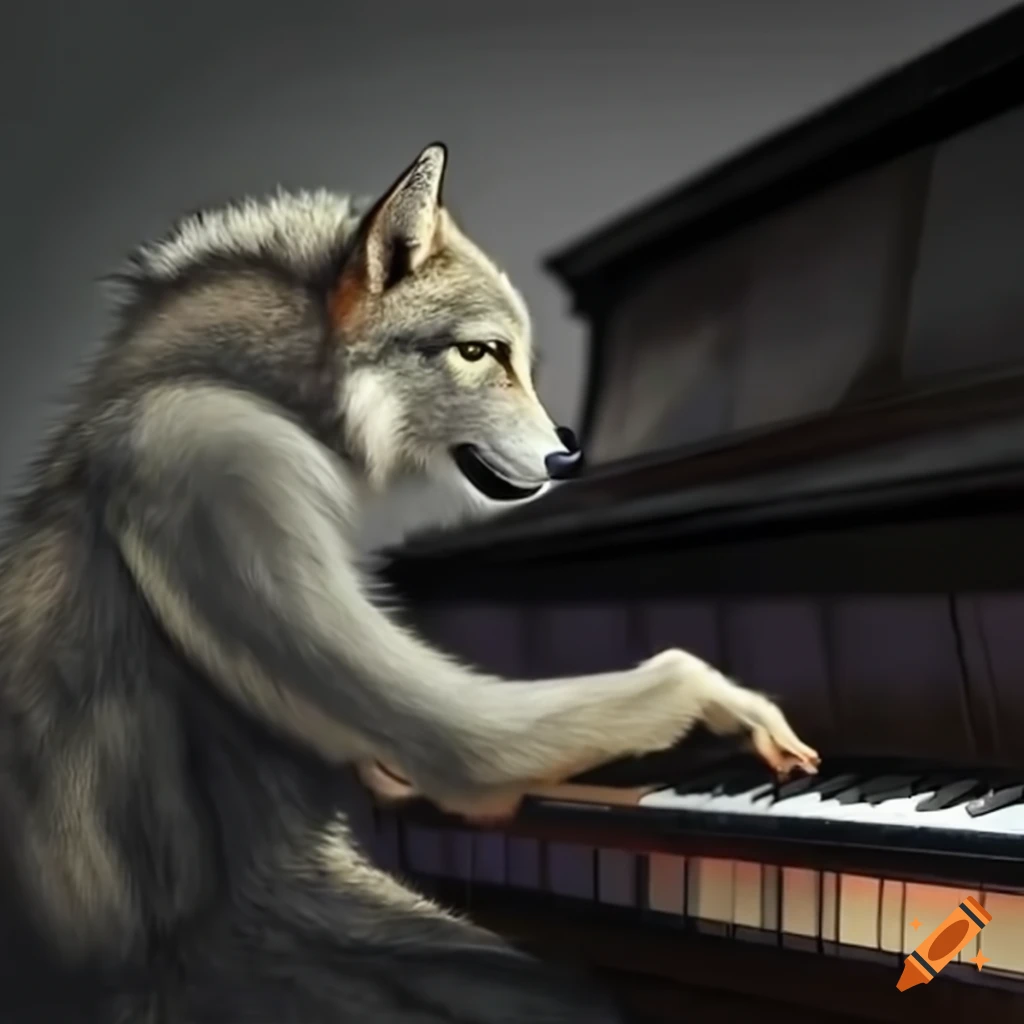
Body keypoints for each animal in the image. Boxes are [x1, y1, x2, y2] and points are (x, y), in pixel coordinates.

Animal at [0, 142, 819, 1023]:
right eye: (479, 352)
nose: (570, 456)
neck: (249, 383)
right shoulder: (232, 469)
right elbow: (470, 740)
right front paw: (722, 698)